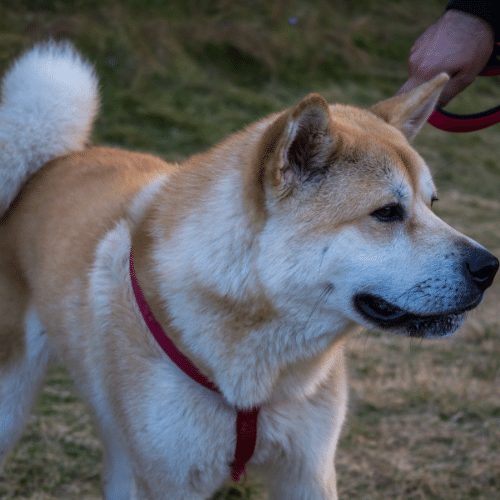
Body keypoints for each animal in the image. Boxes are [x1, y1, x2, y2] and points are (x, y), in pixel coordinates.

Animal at [0, 43, 498, 500]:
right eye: (387, 213)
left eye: (432, 204)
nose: (489, 267)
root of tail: (48, 166)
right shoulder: (171, 480)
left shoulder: (307, 470)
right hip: (14, 403)